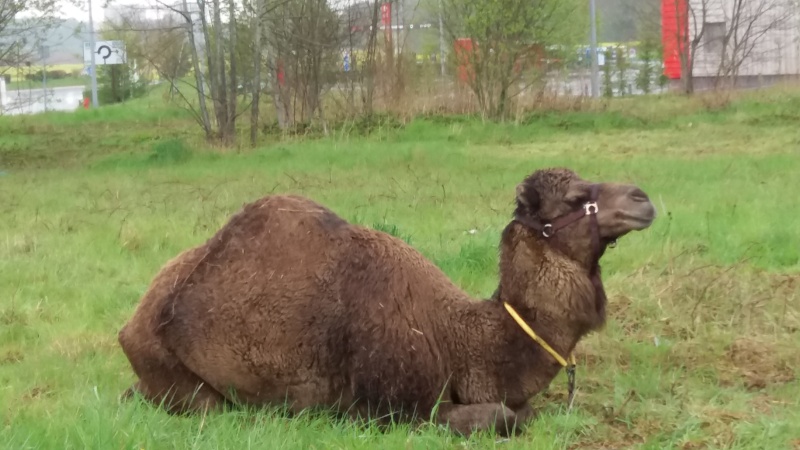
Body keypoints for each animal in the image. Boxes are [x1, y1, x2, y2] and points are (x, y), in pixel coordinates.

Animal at [117, 168, 656, 436]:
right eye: (575, 198)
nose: (642, 198)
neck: (459, 339)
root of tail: (135, 319)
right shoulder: (393, 411)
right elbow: (508, 417)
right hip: (173, 369)